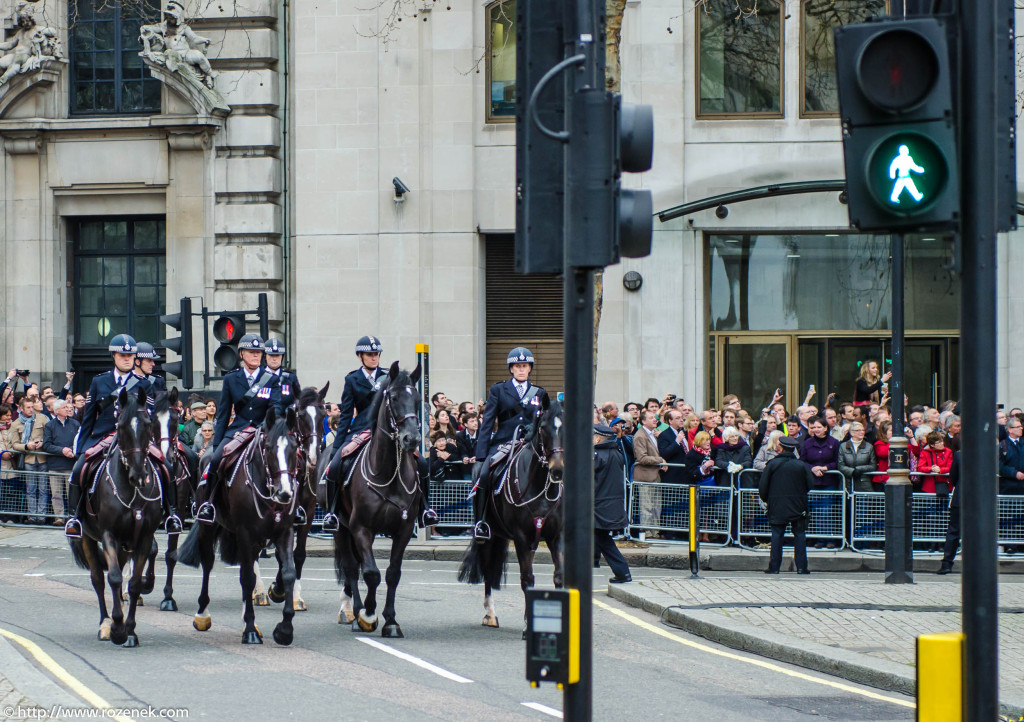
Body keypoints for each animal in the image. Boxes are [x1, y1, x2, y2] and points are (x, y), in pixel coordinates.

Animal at [69, 385, 164, 643]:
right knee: (98, 579)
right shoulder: (108, 534)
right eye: (120, 426)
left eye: (148, 423)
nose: (139, 475)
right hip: (88, 537)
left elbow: (133, 583)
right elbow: (112, 577)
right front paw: (118, 628)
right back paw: (105, 623)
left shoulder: (143, 537)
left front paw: (129, 628)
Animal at [177, 405, 299, 643]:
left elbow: (288, 572)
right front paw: (250, 629)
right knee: (208, 564)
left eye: (295, 448)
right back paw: (202, 615)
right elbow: (247, 578)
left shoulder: (284, 532)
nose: (285, 493)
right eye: (268, 448)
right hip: (208, 527)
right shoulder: (245, 532)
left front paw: (285, 629)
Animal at [315, 360, 419, 634]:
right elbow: (371, 573)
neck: (390, 474)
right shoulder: (361, 527)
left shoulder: (404, 530)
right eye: (393, 397)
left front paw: (391, 620)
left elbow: (393, 573)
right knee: (352, 568)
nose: (412, 439)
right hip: (340, 527)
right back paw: (355, 612)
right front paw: (369, 615)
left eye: (416, 398)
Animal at [458, 393, 565, 626]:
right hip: (489, 535)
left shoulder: (555, 536)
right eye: (543, 428)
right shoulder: (521, 536)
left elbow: (559, 576)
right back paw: (490, 614)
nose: (558, 470)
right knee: (488, 570)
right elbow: (527, 579)